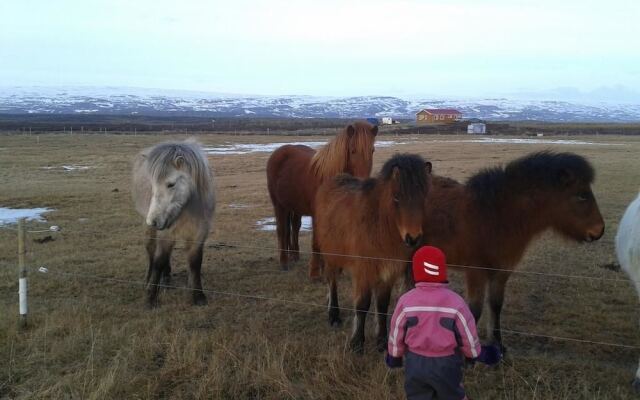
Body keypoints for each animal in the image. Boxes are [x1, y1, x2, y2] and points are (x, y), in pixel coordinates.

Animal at [266, 121, 378, 272]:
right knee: (282, 230)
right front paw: (316, 270)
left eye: (372, 150)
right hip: (279, 205)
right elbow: (316, 242)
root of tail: (279, 152)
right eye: (353, 151)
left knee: (294, 227)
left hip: (294, 206)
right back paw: (284, 262)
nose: (363, 183)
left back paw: (295, 255)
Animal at [314, 153, 432, 354]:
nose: (413, 238)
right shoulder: (364, 272)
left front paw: (382, 342)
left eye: (423, 196)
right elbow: (362, 306)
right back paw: (334, 315)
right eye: (396, 197)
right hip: (331, 258)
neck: (380, 225)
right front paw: (357, 343)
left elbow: (382, 306)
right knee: (332, 282)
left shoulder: (388, 273)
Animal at [422, 152, 604, 352]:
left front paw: (497, 344)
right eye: (581, 196)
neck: (495, 216)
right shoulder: (475, 271)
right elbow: (474, 310)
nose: (599, 231)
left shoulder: (502, 271)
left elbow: (496, 305)